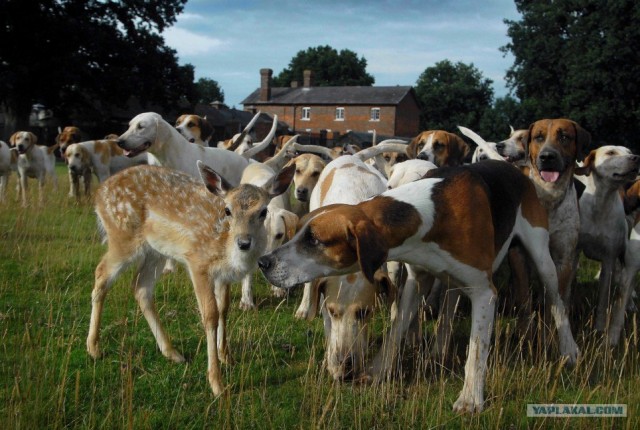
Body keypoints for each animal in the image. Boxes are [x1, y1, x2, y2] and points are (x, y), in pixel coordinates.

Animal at [258, 160, 576, 414]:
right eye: (296, 234)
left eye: (314, 240)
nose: (263, 262)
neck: (428, 216)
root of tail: (513, 166)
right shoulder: (414, 281)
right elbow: (396, 328)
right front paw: (377, 372)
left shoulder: (485, 293)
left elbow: (477, 349)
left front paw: (471, 398)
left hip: (541, 257)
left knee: (558, 303)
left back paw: (569, 350)